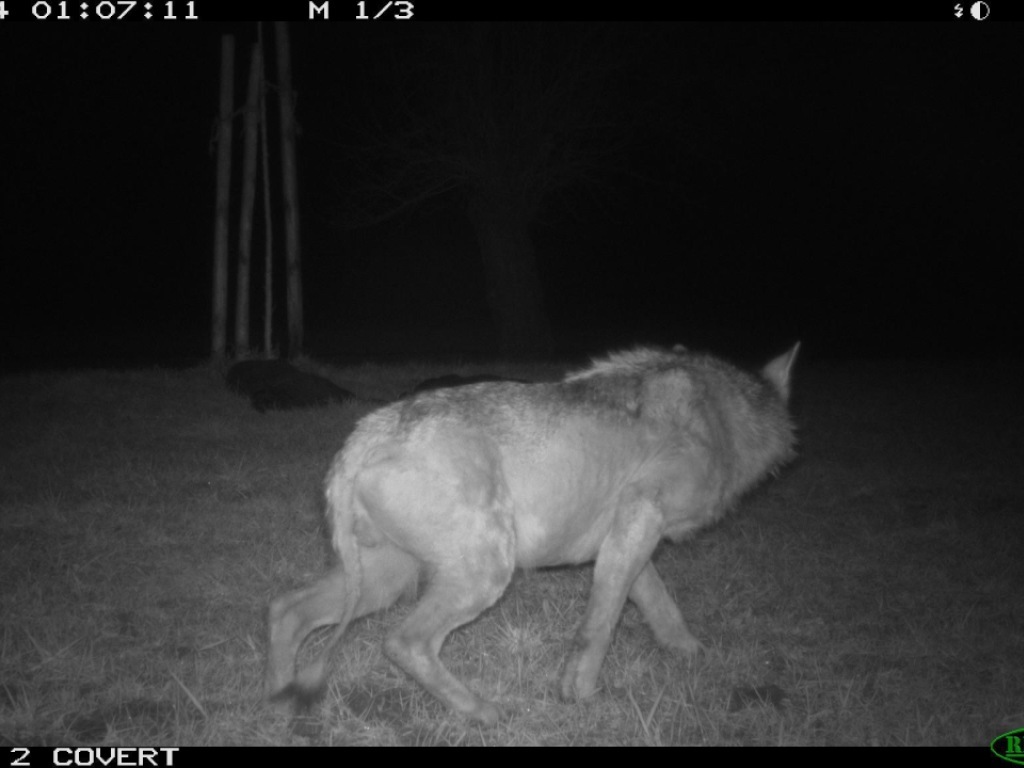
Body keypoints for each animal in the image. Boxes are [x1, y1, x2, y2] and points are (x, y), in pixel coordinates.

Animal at [266, 346, 798, 724]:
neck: (724, 418)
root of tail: (362, 436)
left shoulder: (624, 539)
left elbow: (660, 606)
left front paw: (689, 653)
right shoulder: (639, 516)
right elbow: (599, 627)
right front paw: (579, 696)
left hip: (385, 579)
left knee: (286, 608)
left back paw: (276, 704)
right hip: (481, 573)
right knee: (403, 641)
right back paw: (482, 712)